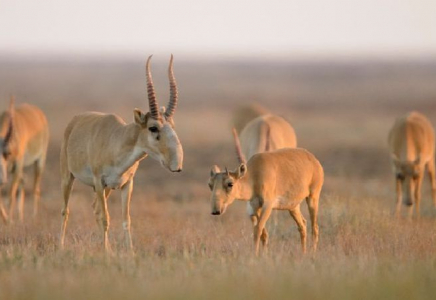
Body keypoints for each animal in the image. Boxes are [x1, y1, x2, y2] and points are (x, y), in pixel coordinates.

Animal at [59, 55, 182, 252]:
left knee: (94, 208)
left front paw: (129, 252)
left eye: (172, 125)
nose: (176, 165)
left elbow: (126, 220)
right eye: (153, 127)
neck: (117, 141)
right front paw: (106, 252)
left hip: (107, 189)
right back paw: (61, 245)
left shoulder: (126, 185)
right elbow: (105, 218)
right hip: (68, 178)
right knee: (66, 210)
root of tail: (75, 120)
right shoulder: (99, 182)